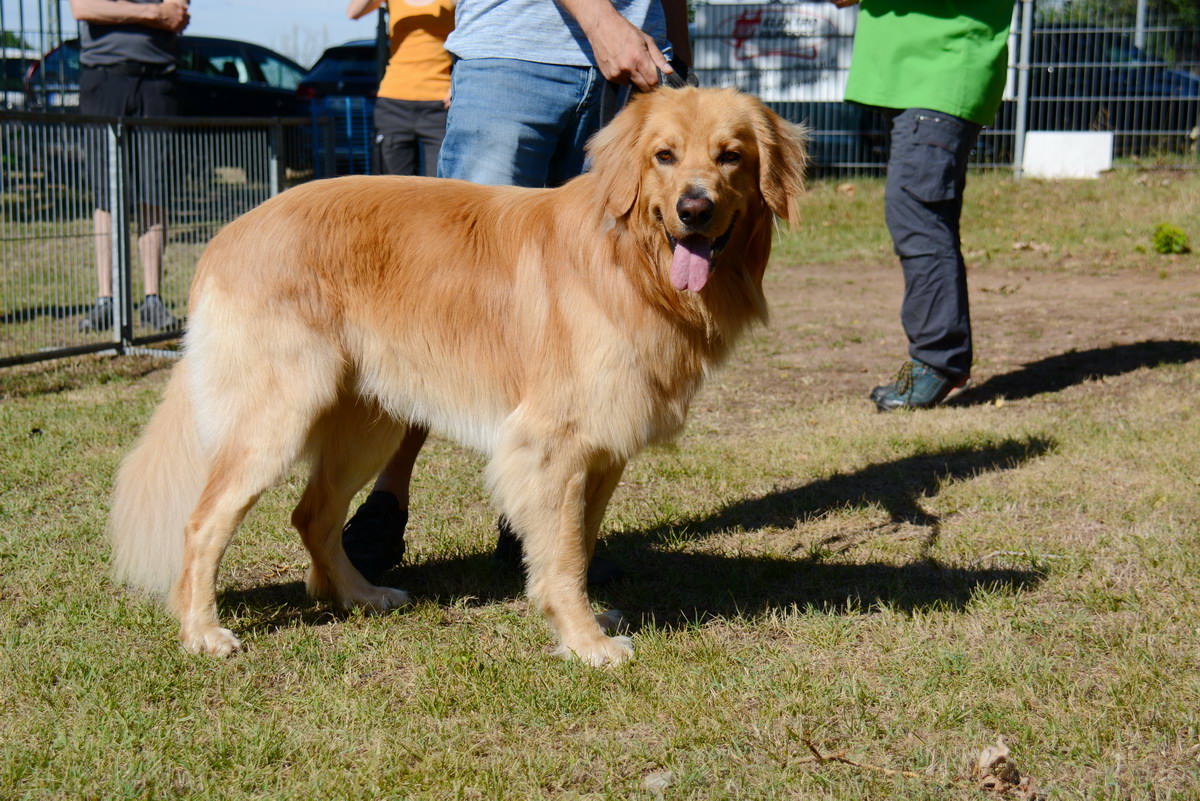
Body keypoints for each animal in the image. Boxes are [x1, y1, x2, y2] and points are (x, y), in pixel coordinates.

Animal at [110, 84, 806, 666]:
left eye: (731, 157)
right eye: (664, 156)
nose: (695, 209)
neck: (631, 261)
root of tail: (228, 235)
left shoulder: (604, 448)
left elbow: (579, 544)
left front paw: (582, 622)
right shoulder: (552, 445)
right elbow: (563, 553)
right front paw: (585, 643)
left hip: (368, 424)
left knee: (313, 516)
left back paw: (361, 595)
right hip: (276, 418)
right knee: (203, 522)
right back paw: (202, 631)